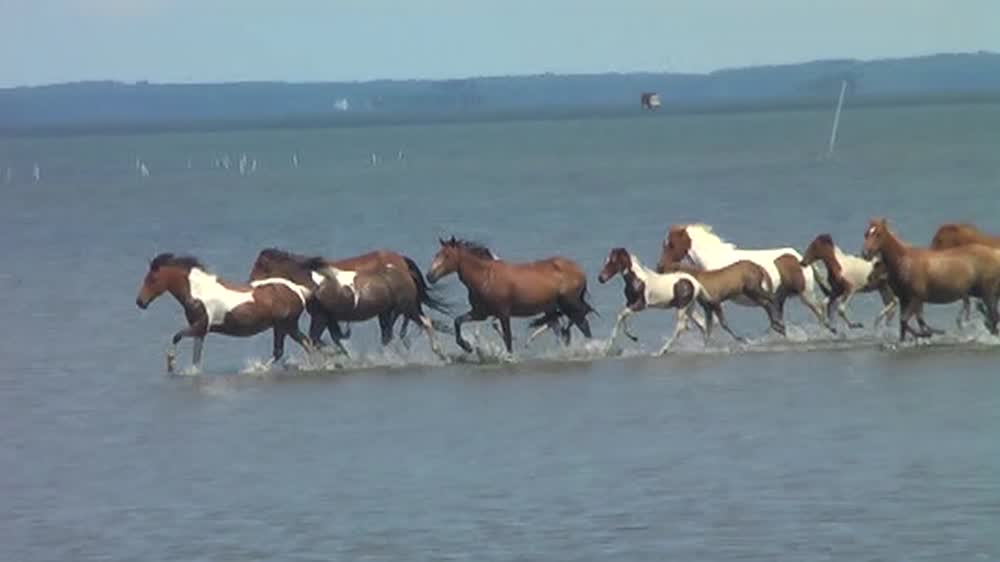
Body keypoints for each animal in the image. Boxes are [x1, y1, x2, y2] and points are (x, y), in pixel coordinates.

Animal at [135, 252, 310, 370]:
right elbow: (196, 359)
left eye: (152, 279)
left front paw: (171, 363)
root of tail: (298, 290)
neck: (198, 292)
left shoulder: (200, 326)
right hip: (282, 327)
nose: (140, 302)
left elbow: (176, 336)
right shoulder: (200, 332)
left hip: (286, 325)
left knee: (299, 345)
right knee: (290, 348)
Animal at [246, 247, 446, 356]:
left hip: (406, 306)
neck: (313, 281)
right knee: (389, 335)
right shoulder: (328, 318)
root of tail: (401, 263)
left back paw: (439, 352)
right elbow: (333, 339)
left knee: (425, 323)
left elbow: (317, 340)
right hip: (387, 311)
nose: (250, 283)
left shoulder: (320, 317)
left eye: (260, 266)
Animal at [424, 237, 592, 354]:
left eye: (446, 256)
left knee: (583, 326)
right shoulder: (480, 313)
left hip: (569, 306)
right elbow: (458, 321)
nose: (429, 276)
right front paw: (467, 346)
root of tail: (580, 270)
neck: (485, 277)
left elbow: (508, 339)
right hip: (552, 310)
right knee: (563, 331)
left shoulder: (503, 314)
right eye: (436, 254)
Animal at [656, 247, 788, 340]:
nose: (658, 270)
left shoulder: (715, 301)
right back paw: (778, 326)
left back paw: (779, 325)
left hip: (753, 288)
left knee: (772, 299)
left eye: (666, 269)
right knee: (766, 302)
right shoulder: (707, 306)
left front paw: (741, 340)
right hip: (750, 292)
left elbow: (722, 323)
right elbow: (708, 329)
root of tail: (759, 267)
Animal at [664, 221, 836, 330]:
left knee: (821, 314)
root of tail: (800, 258)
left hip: (806, 295)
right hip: (783, 298)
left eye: (670, 244)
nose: (661, 267)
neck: (715, 260)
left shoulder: (715, 298)